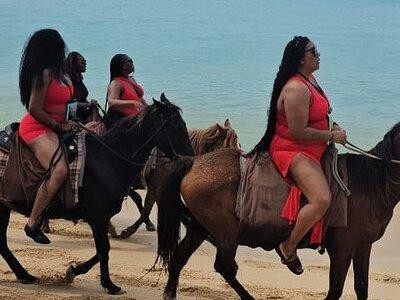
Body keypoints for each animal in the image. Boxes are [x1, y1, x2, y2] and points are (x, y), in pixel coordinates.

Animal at [0, 98, 194, 292]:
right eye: (177, 127)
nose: (191, 157)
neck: (108, 159)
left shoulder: (99, 218)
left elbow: (101, 251)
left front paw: (74, 271)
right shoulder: (97, 217)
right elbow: (104, 250)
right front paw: (108, 284)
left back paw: (24, 275)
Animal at [157, 122, 400, 300]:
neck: (369, 185)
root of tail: (193, 162)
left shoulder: (362, 248)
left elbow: (361, 287)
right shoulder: (342, 250)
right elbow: (335, 292)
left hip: (199, 229)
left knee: (179, 259)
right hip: (226, 233)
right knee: (224, 266)